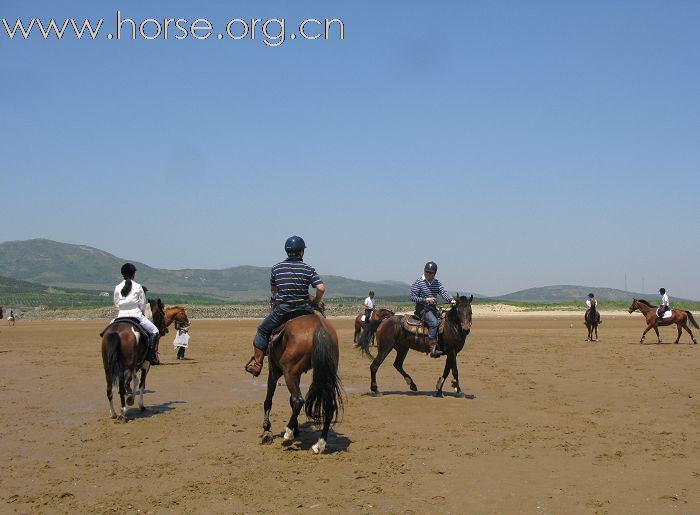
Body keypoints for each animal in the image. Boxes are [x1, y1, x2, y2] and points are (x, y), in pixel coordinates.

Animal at [258, 306, 344, 456]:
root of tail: (319, 327)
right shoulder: (297, 375)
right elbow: (290, 401)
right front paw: (296, 428)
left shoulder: (274, 371)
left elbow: (269, 399)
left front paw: (266, 430)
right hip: (326, 373)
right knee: (329, 406)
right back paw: (319, 445)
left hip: (288, 372)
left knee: (299, 400)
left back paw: (288, 435)